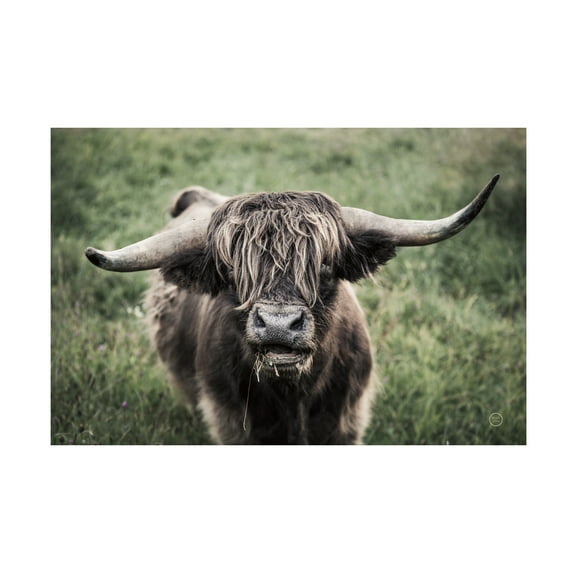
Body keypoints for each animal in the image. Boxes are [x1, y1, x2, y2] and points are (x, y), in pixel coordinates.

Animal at [85, 175, 499, 444]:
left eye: (325, 266)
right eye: (233, 272)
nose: (278, 326)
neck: (294, 397)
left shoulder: (344, 423)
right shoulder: (232, 424)